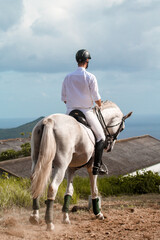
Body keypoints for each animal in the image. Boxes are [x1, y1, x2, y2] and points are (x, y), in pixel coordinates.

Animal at [29, 100, 132, 231]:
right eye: (122, 128)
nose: (109, 147)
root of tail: (49, 121)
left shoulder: (71, 168)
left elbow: (69, 191)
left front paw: (66, 218)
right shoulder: (91, 167)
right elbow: (94, 189)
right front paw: (98, 213)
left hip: (37, 160)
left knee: (35, 182)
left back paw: (34, 217)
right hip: (61, 166)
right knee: (52, 187)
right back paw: (50, 223)